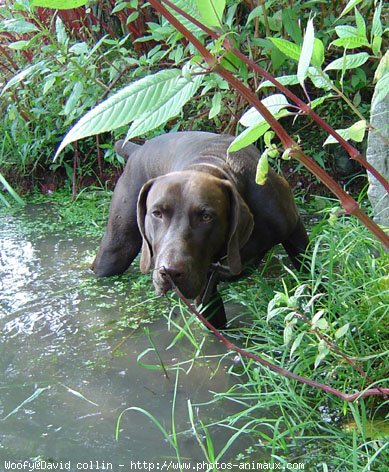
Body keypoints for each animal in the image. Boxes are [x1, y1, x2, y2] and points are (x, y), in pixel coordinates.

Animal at [91, 131, 306, 326]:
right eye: (157, 213)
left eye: (206, 216)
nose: (169, 272)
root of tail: (136, 149)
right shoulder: (206, 288)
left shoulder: (294, 230)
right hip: (114, 252)